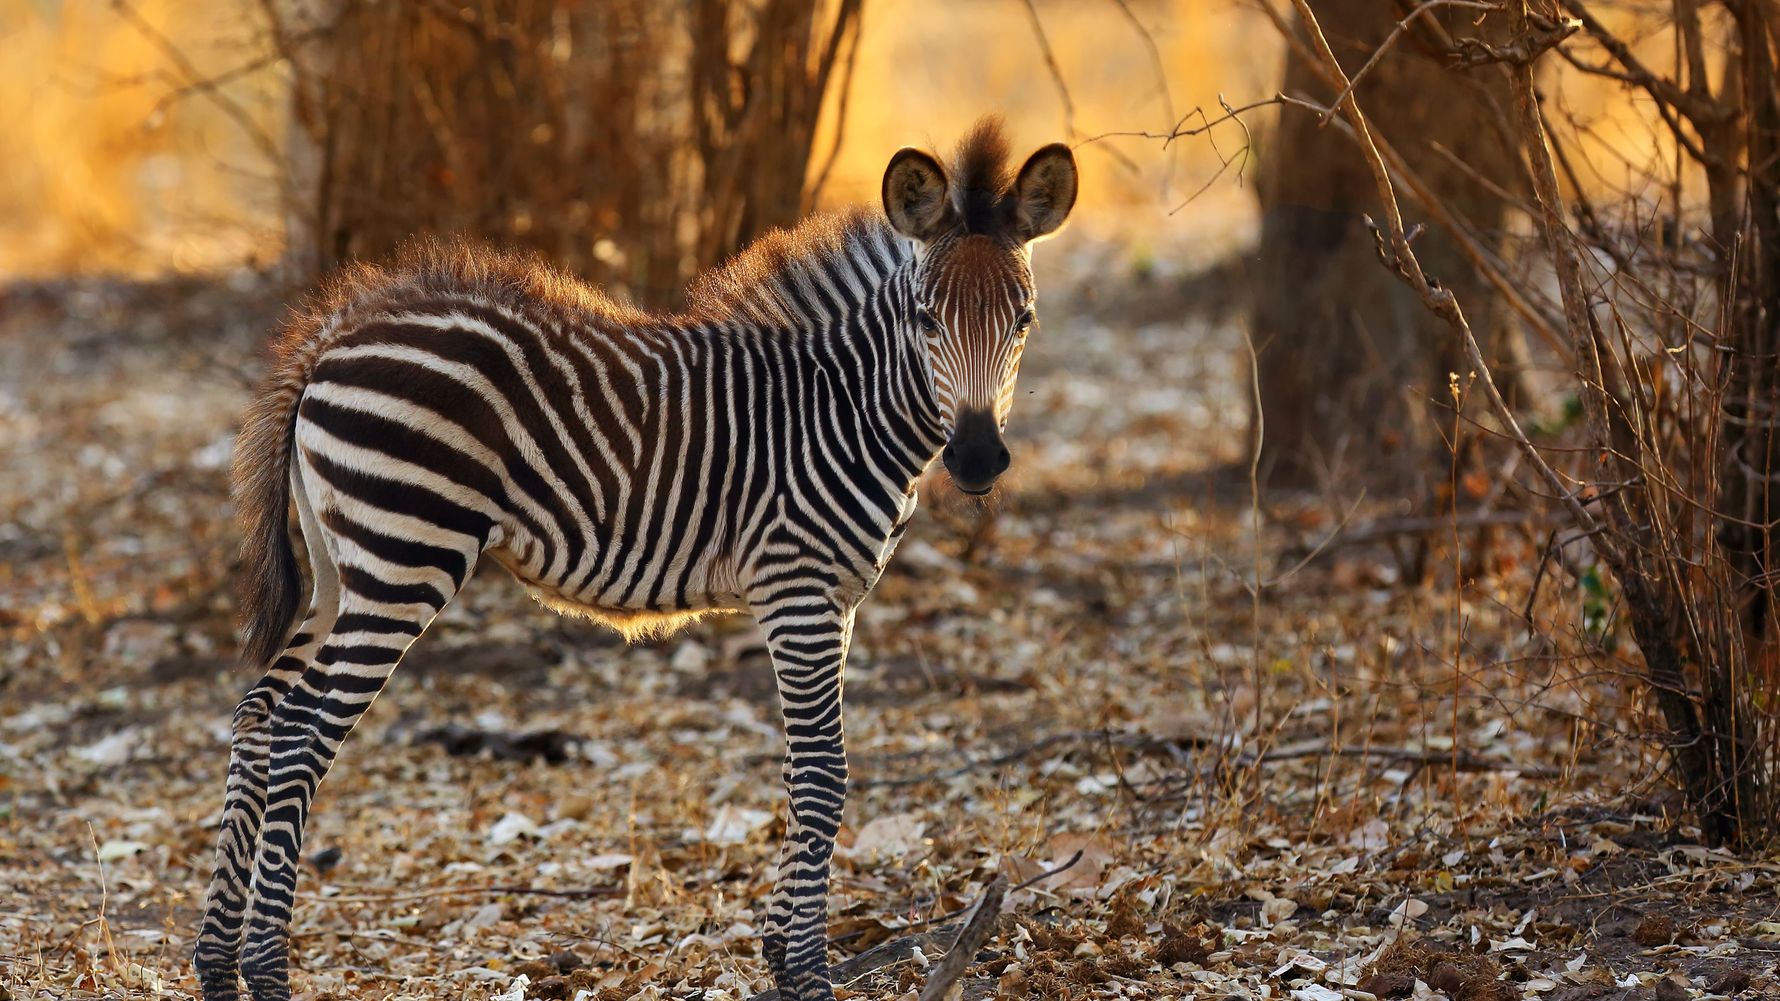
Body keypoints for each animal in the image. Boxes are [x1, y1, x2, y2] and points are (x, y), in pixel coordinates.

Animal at [194, 117, 1077, 1001]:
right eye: (926, 318)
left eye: (1025, 319)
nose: (976, 460)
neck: (841, 406)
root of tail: (334, 329)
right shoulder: (797, 588)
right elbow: (824, 774)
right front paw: (807, 973)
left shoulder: (839, 601)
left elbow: (799, 774)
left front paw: (778, 951)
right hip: (404, 558)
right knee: (301, 733)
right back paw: (267, 970)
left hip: (340, 570)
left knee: (259, 717)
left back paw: (216, 965)